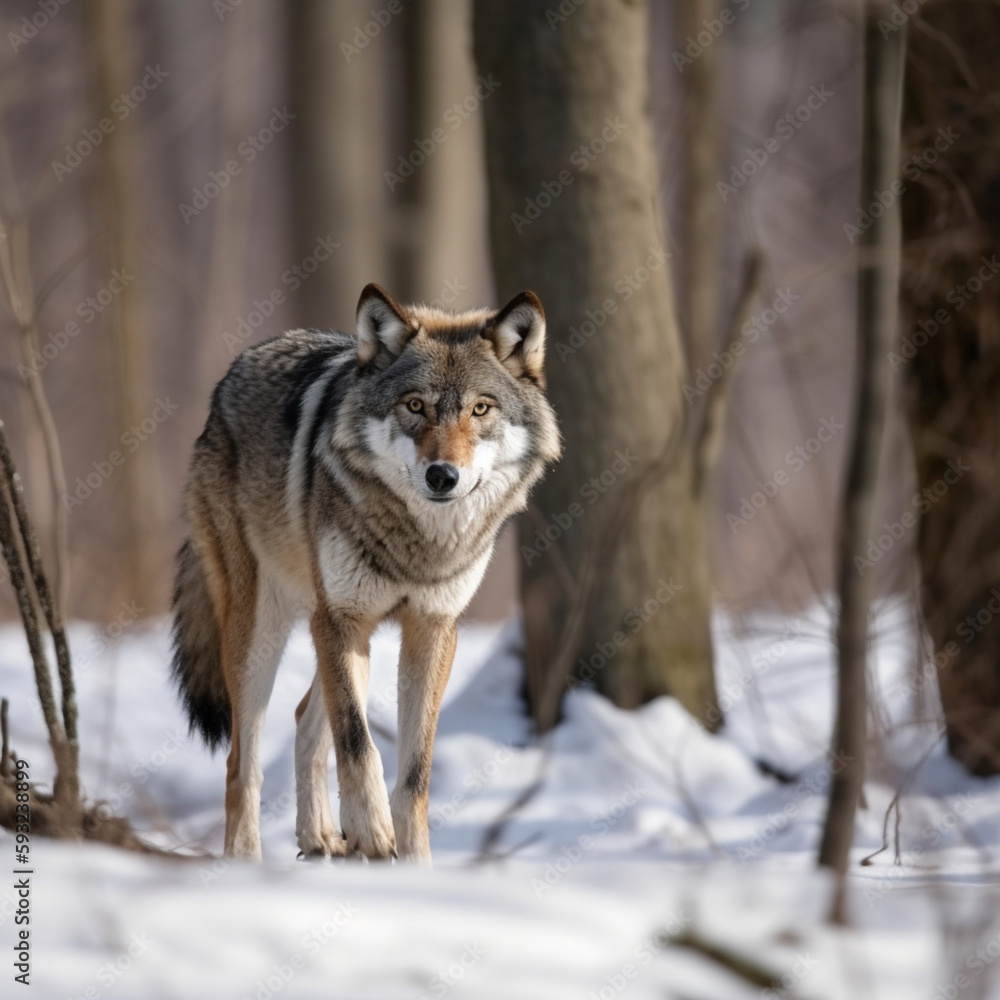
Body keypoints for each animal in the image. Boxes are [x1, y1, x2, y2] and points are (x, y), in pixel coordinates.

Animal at [171, 283, 560, 863]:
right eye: (415, 405)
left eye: (480, 409)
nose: (442, 476)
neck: (417, 544)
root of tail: (235, 371)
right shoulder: (341, 620)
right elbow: (358, 740)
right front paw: (374, 832)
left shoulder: (432, 629)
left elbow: (414, 770)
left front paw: (414, 862)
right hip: (263, 632)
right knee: (243, 763)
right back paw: (246, 862)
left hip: (347, 641)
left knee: (304, 717)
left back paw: (320, 836)